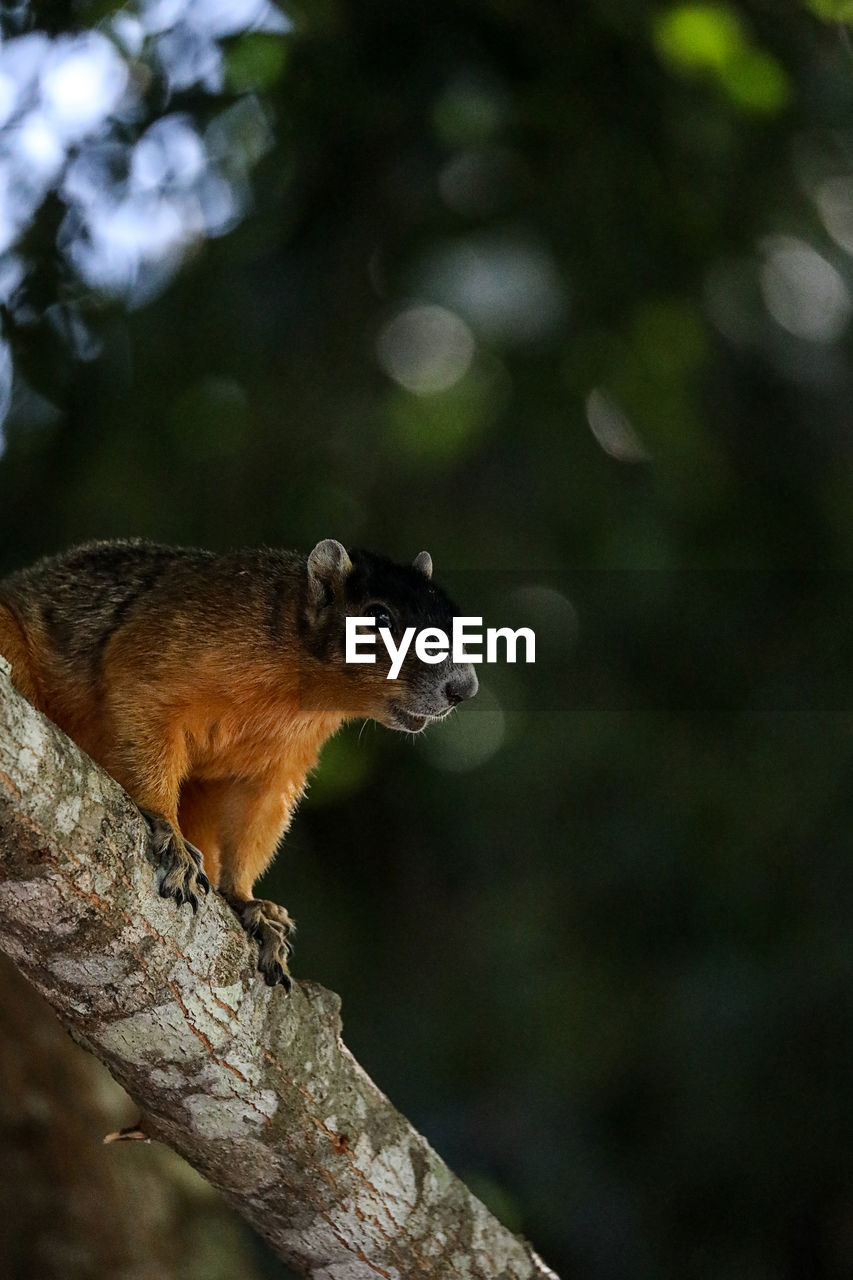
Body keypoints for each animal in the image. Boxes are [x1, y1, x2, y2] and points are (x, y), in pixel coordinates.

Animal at [0, 540, 479, 988]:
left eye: (456, 621)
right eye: (378, 617)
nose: (464, 688)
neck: (298, 690)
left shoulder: (280, 765)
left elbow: (255, 819)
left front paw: (249, 903)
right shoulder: (164, 652)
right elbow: (141, 713)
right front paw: (169, 833)